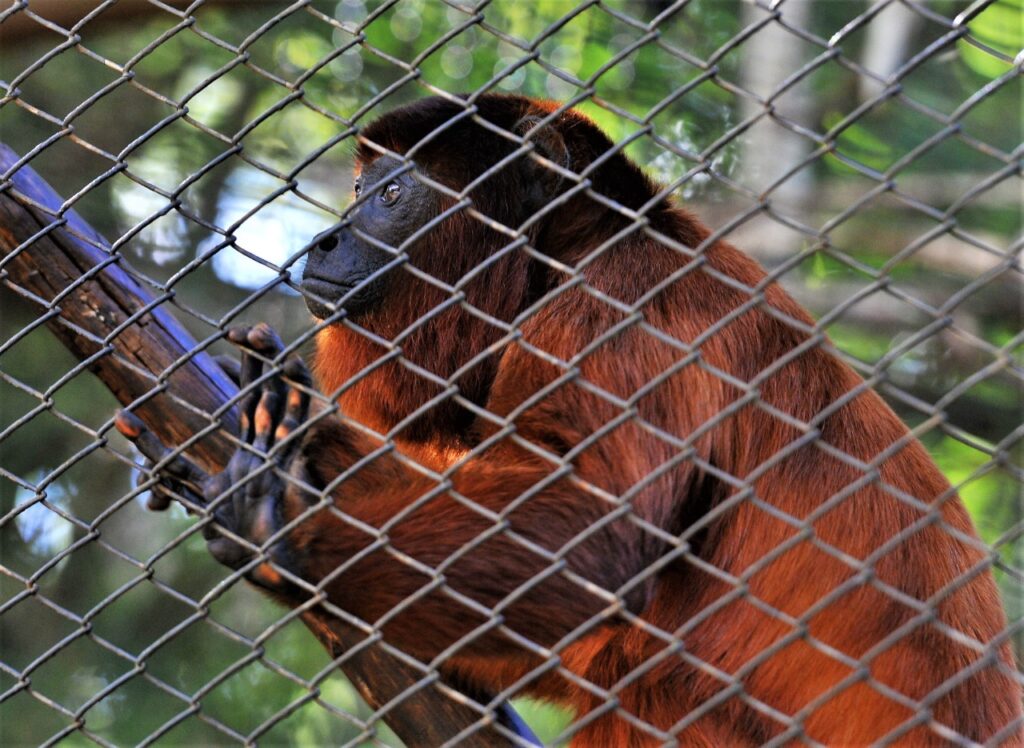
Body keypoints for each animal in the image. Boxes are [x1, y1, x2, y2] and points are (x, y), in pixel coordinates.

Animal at [116, 96, 1019, 741]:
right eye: (361, 190)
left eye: (392, 193)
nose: (325, 240)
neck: (563, 256)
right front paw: (276, 425)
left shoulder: (625, 310)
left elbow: (592, 537)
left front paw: (287, 536)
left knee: (643, 684)